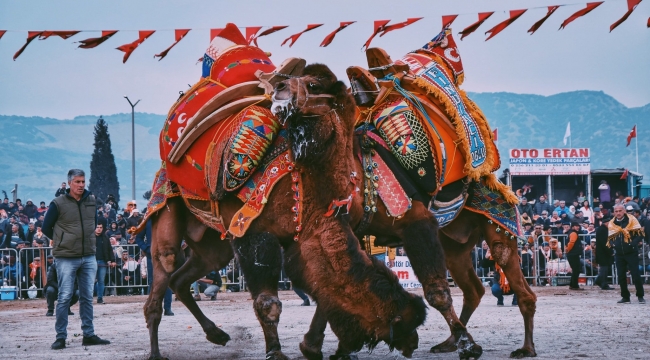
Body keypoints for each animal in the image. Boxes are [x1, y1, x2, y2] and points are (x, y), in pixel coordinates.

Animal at [142, 62, 426, 360]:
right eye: (402, 321)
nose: (413, 343)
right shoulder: (254, 234)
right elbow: (268, 302)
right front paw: (276, 352)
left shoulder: (299, 241)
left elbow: (319, 292)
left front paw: (311, 347)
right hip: (167, 212)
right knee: (163, 276)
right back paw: (156, 352)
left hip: (212, 245)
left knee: (182, 279)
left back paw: (217, 334)